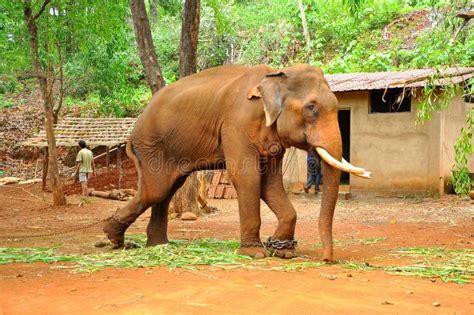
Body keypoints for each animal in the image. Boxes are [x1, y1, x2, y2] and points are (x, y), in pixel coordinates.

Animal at [103, 63, 370, 262]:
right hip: (152, 146)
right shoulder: (236, 124)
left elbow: (270, 184)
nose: (326, 258)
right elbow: (248, 178)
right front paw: (256, 253)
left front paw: (283, 251)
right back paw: (114, 238)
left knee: (168, 189)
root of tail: (134, 128)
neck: (275, 75)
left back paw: (158, 246)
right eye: (311, 107)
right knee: (157, 190)